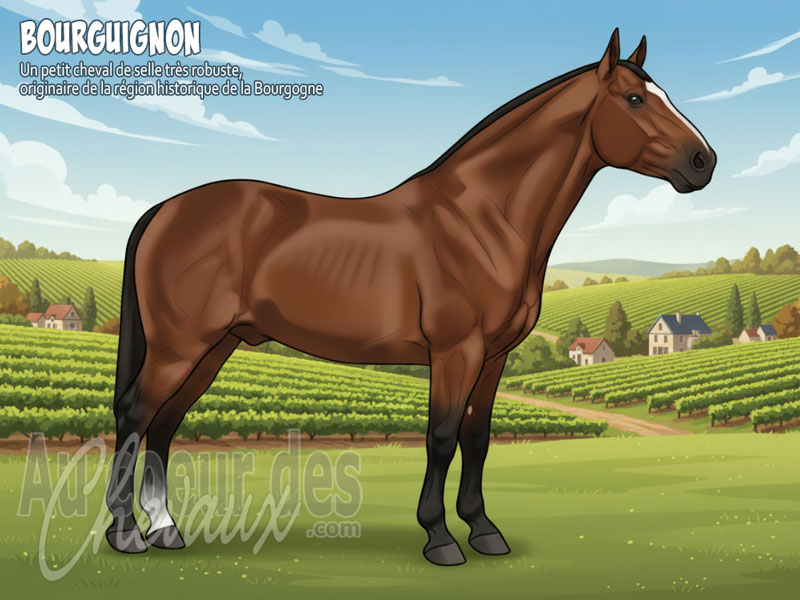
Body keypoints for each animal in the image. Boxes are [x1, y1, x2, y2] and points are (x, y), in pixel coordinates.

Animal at [104, 29, 715, 566]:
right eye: (634, 98)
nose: (702, 161)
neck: (482, 219)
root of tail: (164, 210)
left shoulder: (494, 356)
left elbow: (477, 437)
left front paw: (484, 531)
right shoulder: (455, 351)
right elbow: (441, 438)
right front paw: (440, 538)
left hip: (214, 347)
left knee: (165, 423)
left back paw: (165, 529)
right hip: (180, 345)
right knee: (137, 414)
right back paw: (127, 533)